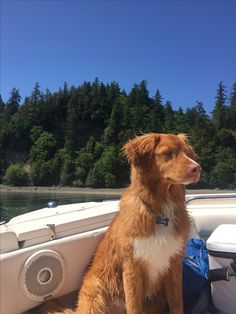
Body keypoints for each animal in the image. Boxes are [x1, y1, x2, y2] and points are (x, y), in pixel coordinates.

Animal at [45, 133, 201, 314]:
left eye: (188, 153)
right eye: (168, 153)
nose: (197, 168)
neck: (160, 210)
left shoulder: (174, 264)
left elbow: (177, 303)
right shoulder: (132, 266)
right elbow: (134, 305)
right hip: (94, 294)